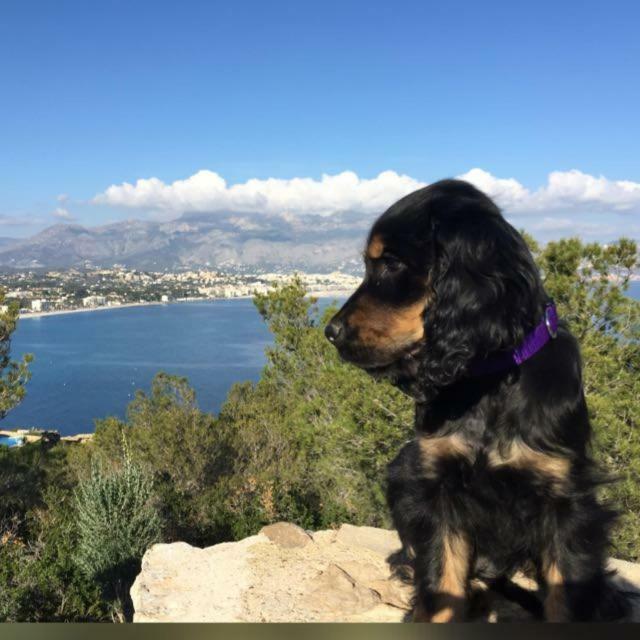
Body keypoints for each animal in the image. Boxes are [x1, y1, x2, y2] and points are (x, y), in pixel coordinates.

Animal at [324, 179, 624, 620]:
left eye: (391, 264)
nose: (331, 332)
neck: (489, 379)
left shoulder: (565, 498)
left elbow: (564, 594)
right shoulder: (438, 485)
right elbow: (442, 579)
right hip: (402, 471)